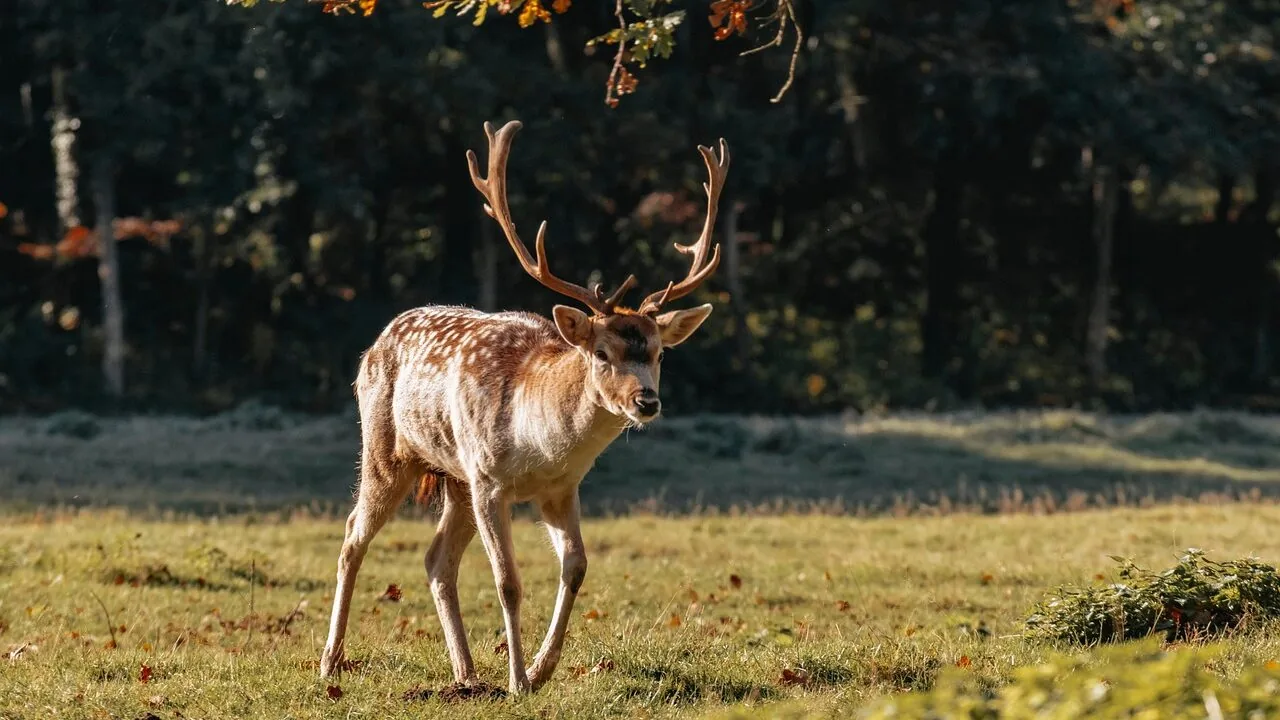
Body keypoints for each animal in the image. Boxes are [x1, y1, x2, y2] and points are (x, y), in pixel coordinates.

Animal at [318, 119, 730, 695]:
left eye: (658, 352)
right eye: (601, 352)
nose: (646, 400)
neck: (540, 445)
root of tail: (372, 347)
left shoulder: (560, 488)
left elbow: (576, 566)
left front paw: (539, 669)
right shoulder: (491, 480)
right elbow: (508, 581)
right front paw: (517, 679)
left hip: (456, 479)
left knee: (436, 559)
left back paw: (465, 673)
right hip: (388, 451)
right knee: (353, 535)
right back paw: (330, 661)